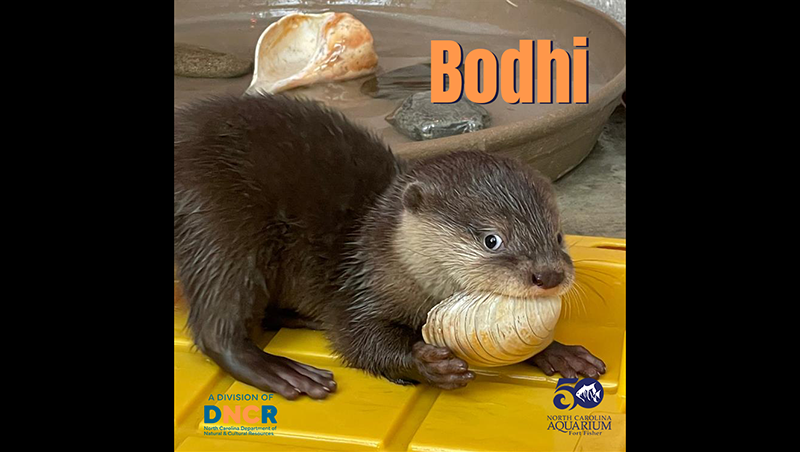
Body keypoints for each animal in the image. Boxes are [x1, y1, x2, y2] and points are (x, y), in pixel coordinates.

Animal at [174, 94, 605, 400]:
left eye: (558, 234)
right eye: (492, 239)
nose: (549, 275)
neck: (374, 248)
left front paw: (557, 351)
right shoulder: (359, 291)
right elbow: (357, 339)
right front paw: (426, 362)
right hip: (215, 216)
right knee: (216, 320)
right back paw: (281, 370)